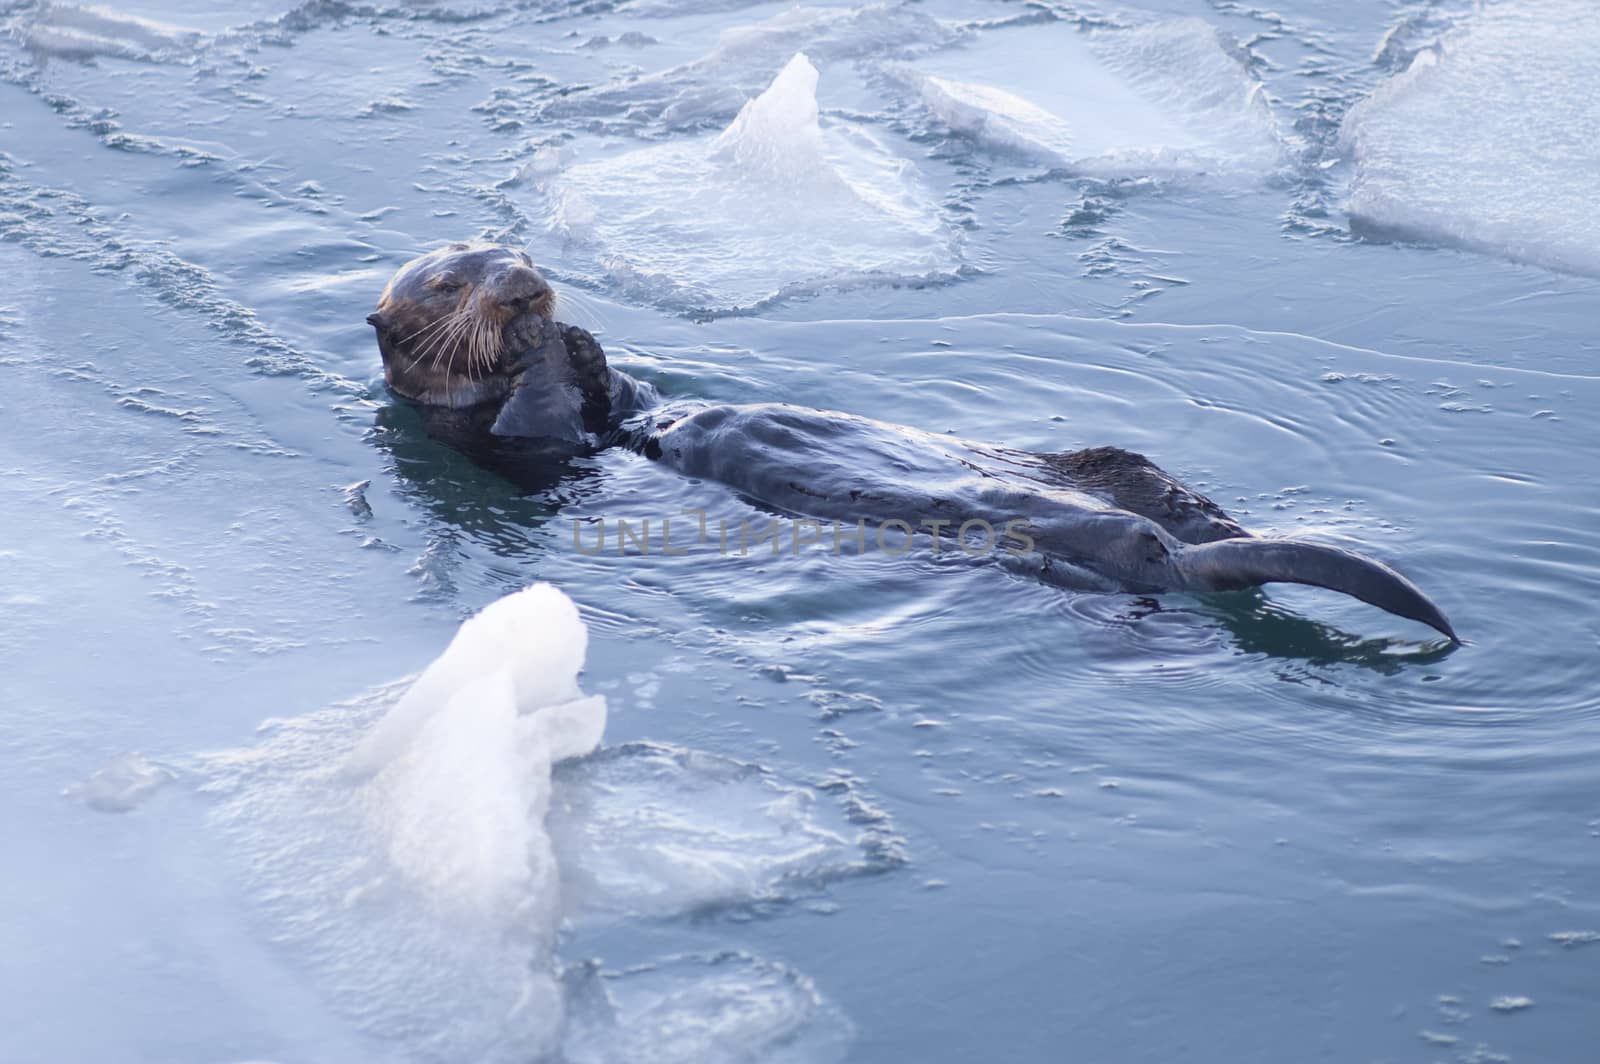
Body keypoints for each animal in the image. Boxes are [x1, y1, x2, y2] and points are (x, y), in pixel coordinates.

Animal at [368, 240, 1459, 640]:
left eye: (513, 248)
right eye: (450, 282)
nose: (523, 286)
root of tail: (1169, 549)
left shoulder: (625, 402)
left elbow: (626, 390)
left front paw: (581, 340)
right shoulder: (498, 449)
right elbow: (533, 425)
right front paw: (541, 351)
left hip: (1126, 475)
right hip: (1078, 560)